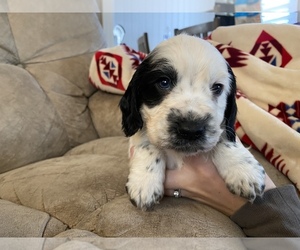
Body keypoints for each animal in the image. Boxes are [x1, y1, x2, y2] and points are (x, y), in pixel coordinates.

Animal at [119, 34, 264, 211]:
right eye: (164, 82)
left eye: (217, 87)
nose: (190, 129)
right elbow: (147, 143)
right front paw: (144, 183)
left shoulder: (221, 128)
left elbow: (223, 136)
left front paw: (244, 169)